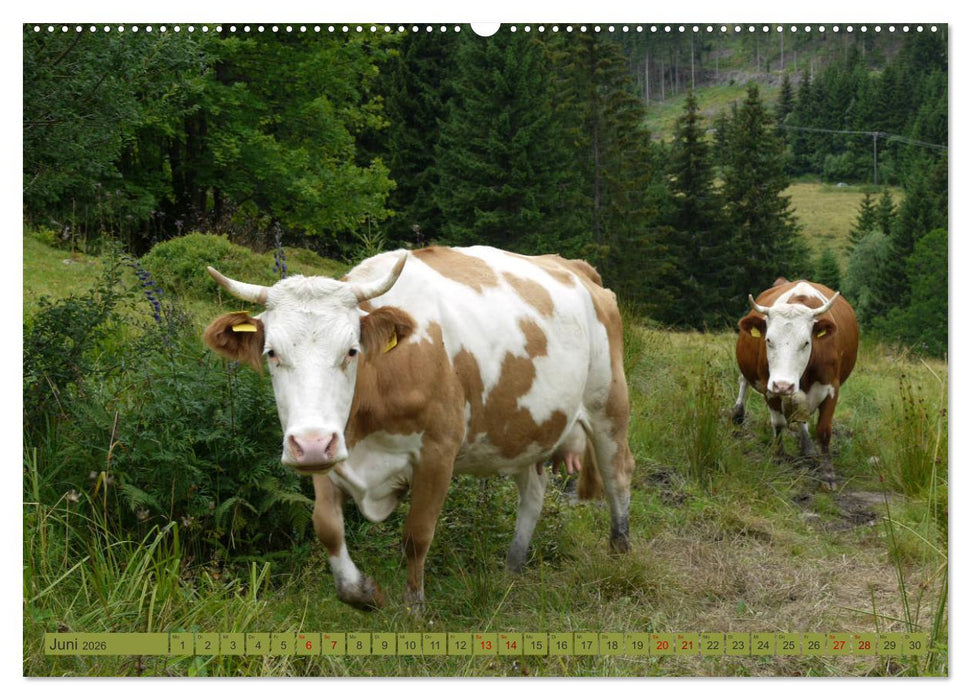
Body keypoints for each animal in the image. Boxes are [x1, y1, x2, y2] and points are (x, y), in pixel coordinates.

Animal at [203, 245, 634, 610]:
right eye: (271, 353)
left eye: (351, 351)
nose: (309, 444)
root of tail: (574, 266)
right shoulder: (330, 450)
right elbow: (326, 527)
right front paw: (362, 593)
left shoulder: (437, 454)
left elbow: (417, 535)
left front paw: (414, 608)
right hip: (523, 429)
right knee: (533, 491)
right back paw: (513, 566)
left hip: (609, 404)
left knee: (618, 474)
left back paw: (621, 550)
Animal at [732, 279, 859, 491]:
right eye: (768, 340)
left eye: (806, 342)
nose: (783, 385)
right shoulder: (769, 385)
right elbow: (778, 422)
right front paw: (778, 456)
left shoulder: (831, 388)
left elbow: (824, 431)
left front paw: (828, 475)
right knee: (743, 380)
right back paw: (738, 413)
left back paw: (807, 447)